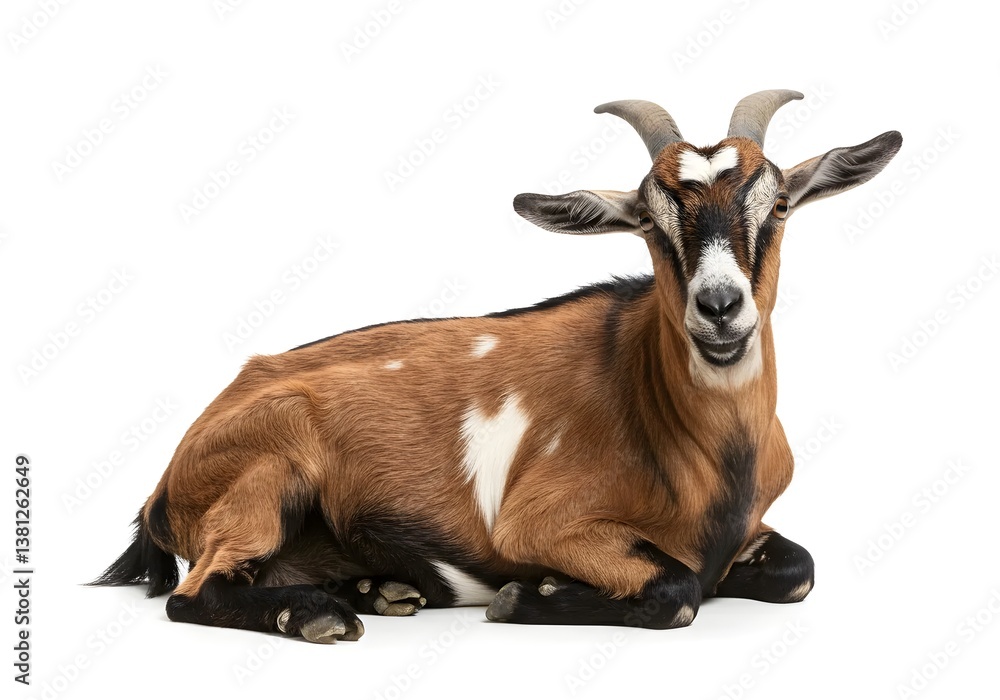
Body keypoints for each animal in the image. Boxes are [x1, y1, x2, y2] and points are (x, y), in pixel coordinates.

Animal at [93, 90, 901, 642]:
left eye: (779, 206)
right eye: (649, 220)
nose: (720, 306)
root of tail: (164, 483)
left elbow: (798, 572)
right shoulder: (537, 524)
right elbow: (678, 589)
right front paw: (528, 597)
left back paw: (380, 592)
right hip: (269, 470)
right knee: (192, 593)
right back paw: (322, 615)